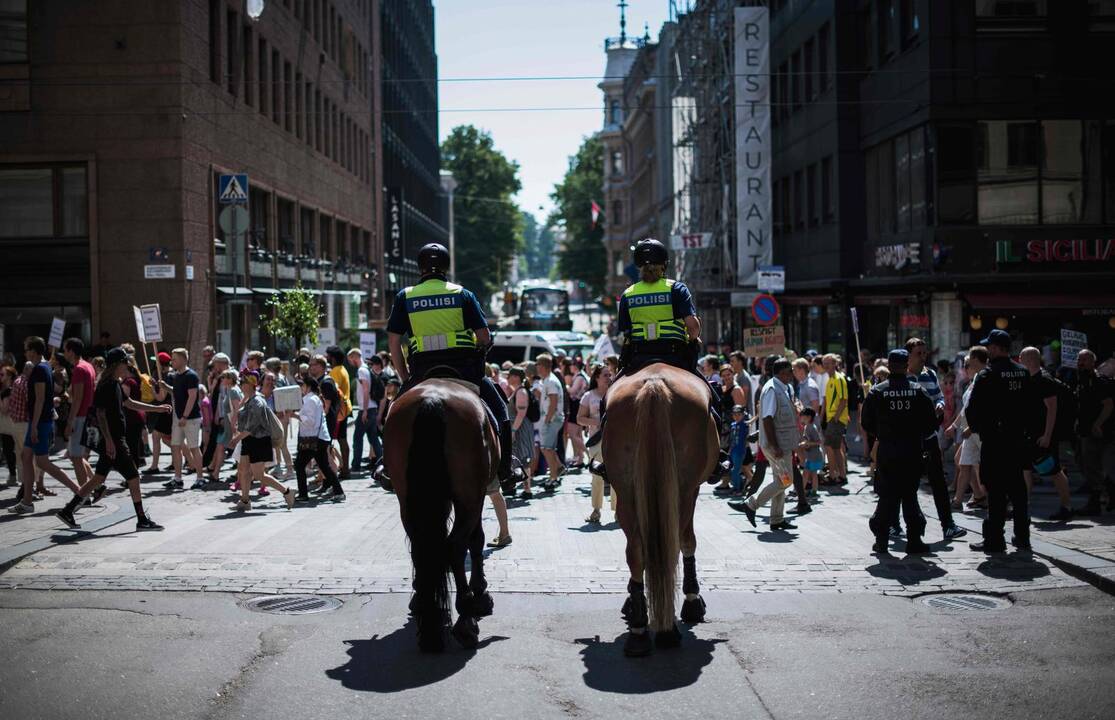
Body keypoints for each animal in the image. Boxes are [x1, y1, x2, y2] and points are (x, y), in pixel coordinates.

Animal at [383, 378, 497, 655]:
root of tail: (432, 399)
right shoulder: (478, 495)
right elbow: (477, 540)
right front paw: (481, 592)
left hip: (409, 499)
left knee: (421, 547)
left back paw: (428, 615)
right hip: (468, 495)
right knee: (455, 545)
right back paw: (465, 618)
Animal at [606, 363, 718, 655]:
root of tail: (654, 383)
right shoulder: (691, 490)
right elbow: (688, 541)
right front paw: (692, 599)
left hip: (626, 490)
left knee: (636, 551)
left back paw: (638, 630)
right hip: (683, 489)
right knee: (675, 543)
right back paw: (669, 629)